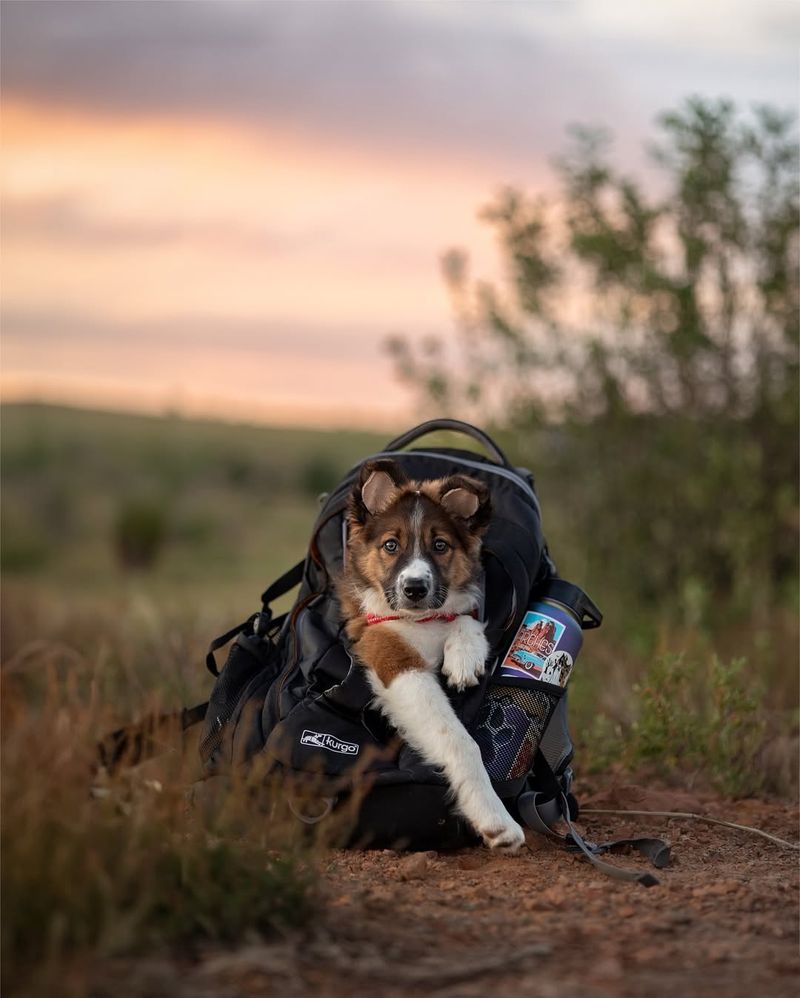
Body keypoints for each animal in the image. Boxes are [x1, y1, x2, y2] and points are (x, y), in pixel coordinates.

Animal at [336, 460, 528, 852]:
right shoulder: (393, 660)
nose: (414, 589)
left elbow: (465, 615)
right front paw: (496, 820)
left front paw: (464, 656)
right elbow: (460, 742)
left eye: (440, 545)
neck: (420, 620)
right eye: (391, 545)